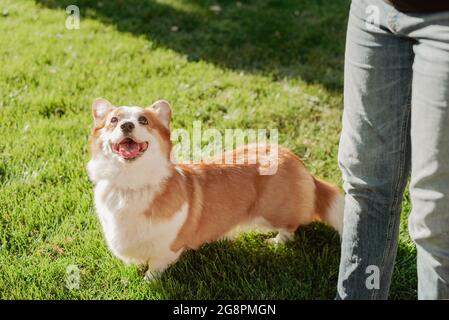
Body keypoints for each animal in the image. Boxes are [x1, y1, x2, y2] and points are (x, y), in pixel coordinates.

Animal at [87, 97, 344, 280]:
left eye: (143, 121)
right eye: (113, 120)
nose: (127, 125)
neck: (130, 182)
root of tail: (294, 158)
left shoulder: (168, 248)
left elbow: (155, 268)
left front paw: (147, 281)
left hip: (274, 213)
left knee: (290, 229)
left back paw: (275, 242)